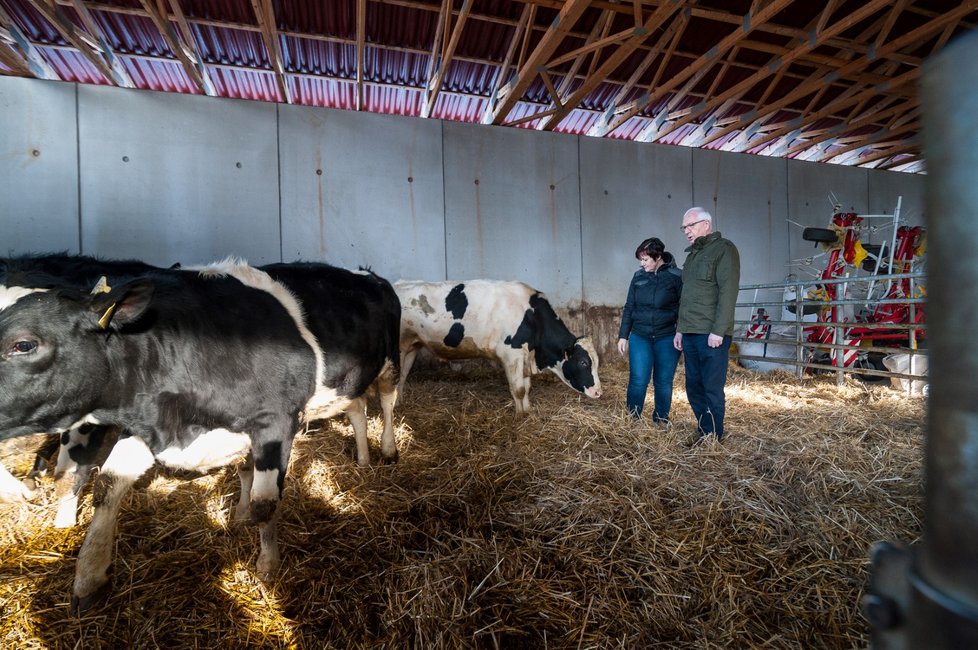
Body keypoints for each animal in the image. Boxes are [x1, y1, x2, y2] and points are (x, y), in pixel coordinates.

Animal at [0, 258, 400, 612]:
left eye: (24, 344)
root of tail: (366, 273)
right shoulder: (152, 426)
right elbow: (108, 485)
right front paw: (88, 579)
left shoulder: (275, 423)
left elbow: (265, 503)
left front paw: (267, 568)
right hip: (348, 382)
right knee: (357, 410)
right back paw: (362, 459)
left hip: (389, 362)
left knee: (387, 402)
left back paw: (388, 451)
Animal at [392, 276, 600, 412]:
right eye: (583, 362)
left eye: (596, 362)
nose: (599, 392)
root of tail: (398, 283)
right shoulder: (511, 354)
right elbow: (518, 389)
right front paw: (519, 416)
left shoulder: (524, 356)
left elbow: (526, 387)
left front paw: (527, 411)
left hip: (412, 346)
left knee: (402, 377)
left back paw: (399, 404)